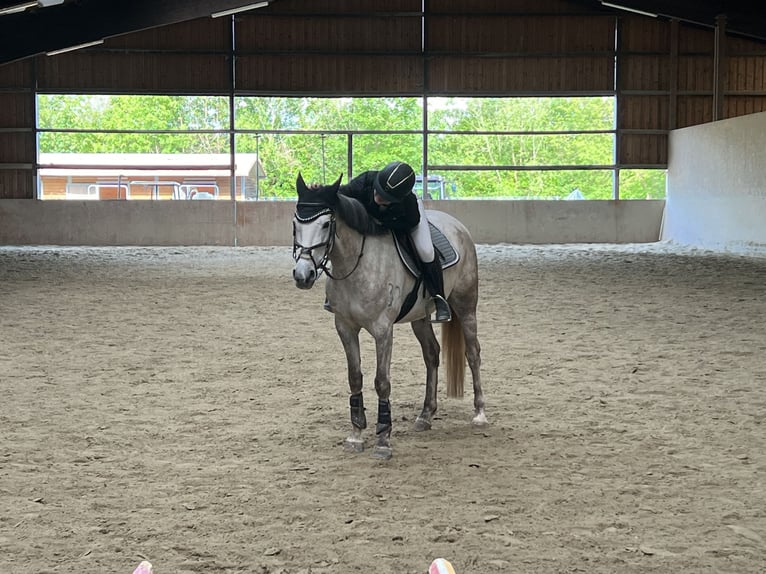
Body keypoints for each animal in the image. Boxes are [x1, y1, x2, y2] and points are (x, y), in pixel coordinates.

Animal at [292, 173, 488, 462]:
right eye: (295, 223)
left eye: (326, 224)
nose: (302, 275)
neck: (355, 265)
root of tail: (456, 225)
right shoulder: (345, 327)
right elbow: (355, 377)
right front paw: (356, 435)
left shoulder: (383, 330)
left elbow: (382, 382)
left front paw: (383, 439)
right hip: (420, 316)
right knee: (431, 354)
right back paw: (425, 415)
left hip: (465, 305)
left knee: (473, 353)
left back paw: (480, 413)